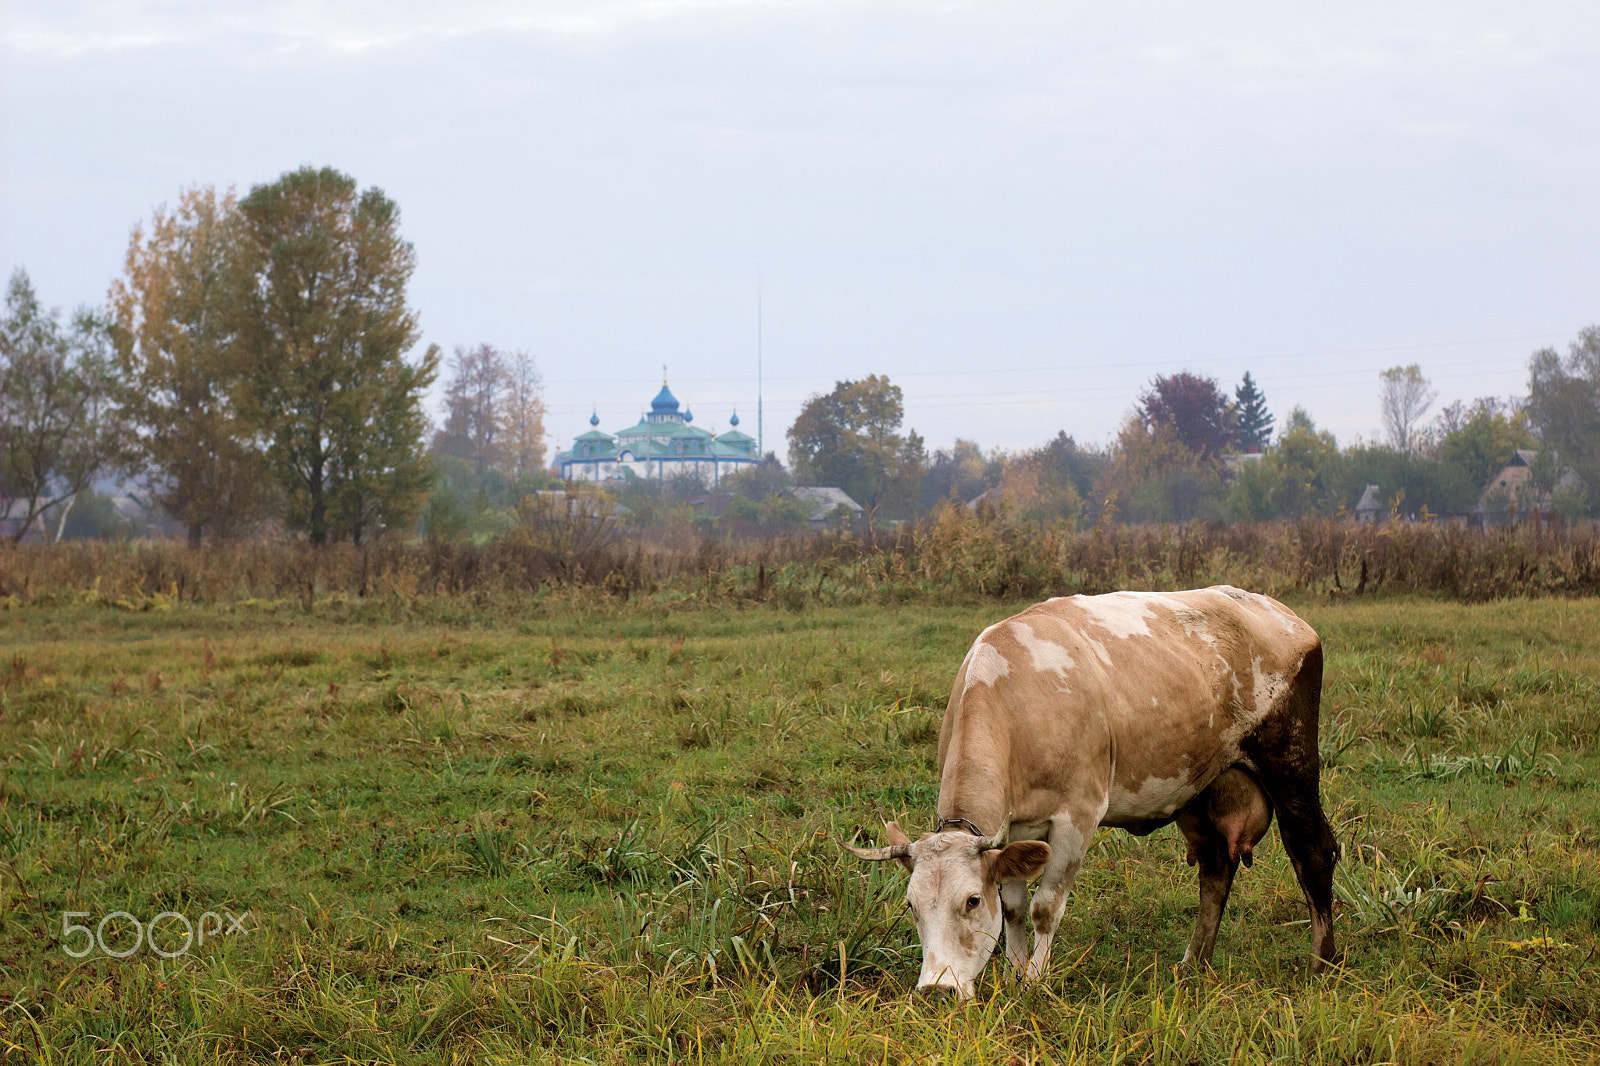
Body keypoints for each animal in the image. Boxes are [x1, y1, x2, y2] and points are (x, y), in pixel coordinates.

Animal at [845, 586, 1337, 998]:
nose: (936, 990)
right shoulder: (1014, 829)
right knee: (1216, 866)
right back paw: (1193, 962)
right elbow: (1014, 909)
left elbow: (1044, 908)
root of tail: (1281, 613)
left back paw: (1322, 964)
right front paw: (1014, 974)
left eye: (970, 900)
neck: (1018, 703)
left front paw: (1034, 983)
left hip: (1291, 761)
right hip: (1202, 786)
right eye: (911, 904)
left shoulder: (1077, 817)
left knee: (1312, 850)